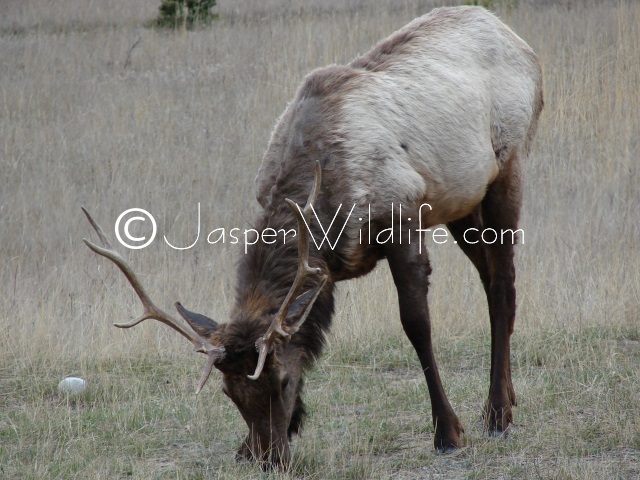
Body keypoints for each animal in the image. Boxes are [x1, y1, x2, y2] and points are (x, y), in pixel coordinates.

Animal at [84, 3, 540, 468]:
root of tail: (520, 43)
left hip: (508, 166)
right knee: (490, 277)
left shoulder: (403, 216)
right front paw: (254, 442)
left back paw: (497, 414)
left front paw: (447, 432)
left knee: (503, 282)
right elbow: (309, 332)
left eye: (282, 382)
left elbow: (416, 323)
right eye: (229, 393)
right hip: (461, 200)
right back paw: (507, 398)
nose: (269, 457)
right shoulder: (326, 268)